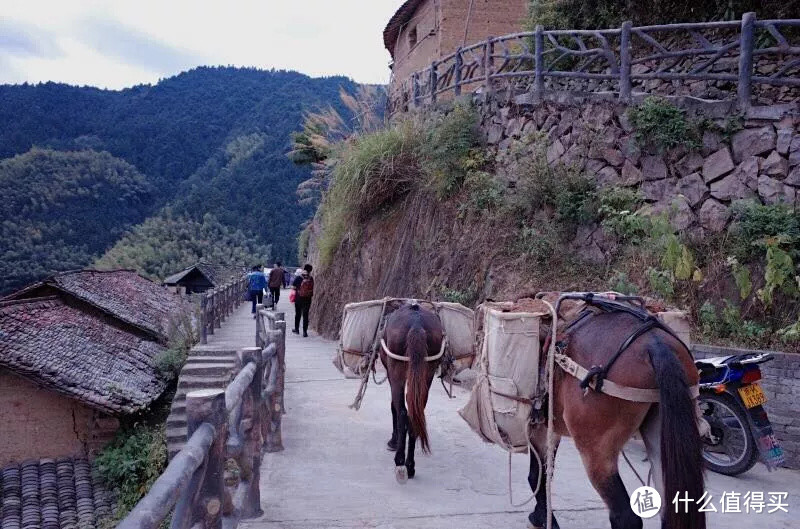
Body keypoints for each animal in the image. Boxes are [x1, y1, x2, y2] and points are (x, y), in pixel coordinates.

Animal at [380, 302, 444, 482]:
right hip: (427, 371)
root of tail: (416, 324)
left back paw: (400, 461)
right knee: (416, 412)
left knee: (402, 411)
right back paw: (410, 466)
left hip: (397, 369)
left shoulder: (391, 374)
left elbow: (394, 406)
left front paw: (393, 441)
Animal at [528, 306, 704, 528]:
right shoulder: (544, 426)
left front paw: (541, 517)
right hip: (663, 437)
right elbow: (541, 474)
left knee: (625, 516)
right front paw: (542, 516)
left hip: (596, 448)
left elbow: (537, 475)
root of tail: (655, 343)